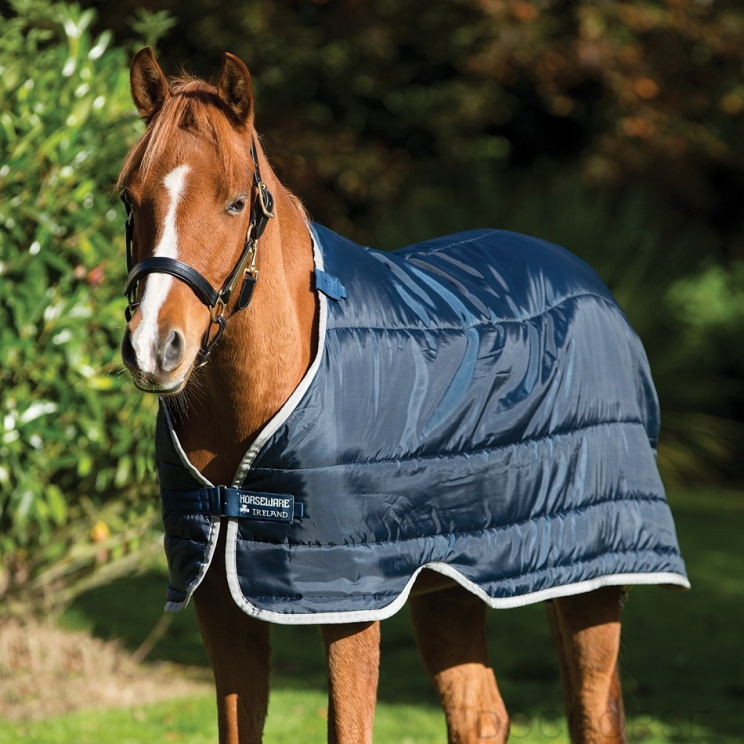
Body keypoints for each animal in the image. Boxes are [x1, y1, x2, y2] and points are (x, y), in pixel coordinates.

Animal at [118, 48, 688, 743]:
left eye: (234, 203)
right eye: (130, 199)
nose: (155, 348)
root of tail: (590, 285)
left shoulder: (349, 604)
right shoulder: (218, 602)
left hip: (592, 580)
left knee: (592, 712)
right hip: (452, 588)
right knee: (480, 715)